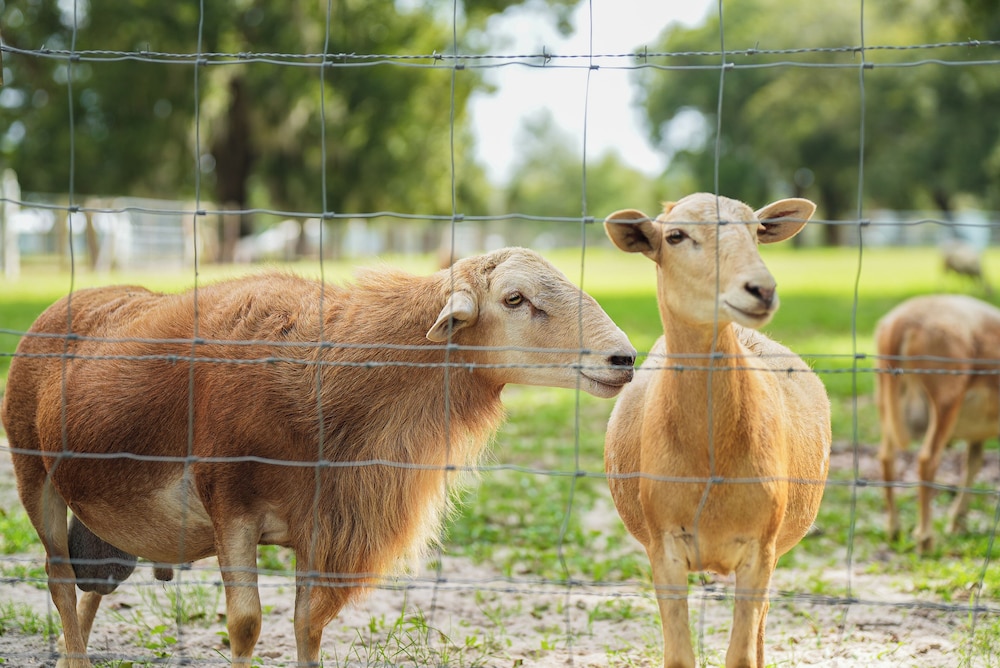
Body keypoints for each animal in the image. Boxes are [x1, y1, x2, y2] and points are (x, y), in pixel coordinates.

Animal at [1, 247, 636, 668]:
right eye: (515, 298)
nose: (624, 359)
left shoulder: (321, 519)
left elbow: (308, 625)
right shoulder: (230, 505)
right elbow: (246, 624)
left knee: (90, 590)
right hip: (34, 475)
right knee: (60, 581)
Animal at [602, 193, 831, 668]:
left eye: (756, 230)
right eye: (675, 235)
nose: (761, 289)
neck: (709, 466)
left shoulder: (761, 546)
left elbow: (740, 655)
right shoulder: (663, 543)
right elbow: (678, 656)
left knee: (762, 623)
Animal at [874, 293, 1000, 553]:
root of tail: (902, 320)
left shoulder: (978, 434)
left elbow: (973, 465)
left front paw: (957, 523)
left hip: (885, 400)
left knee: (886, 457)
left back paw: (894, 530)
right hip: (945, 398)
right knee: (927, 460)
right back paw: (925, 539)